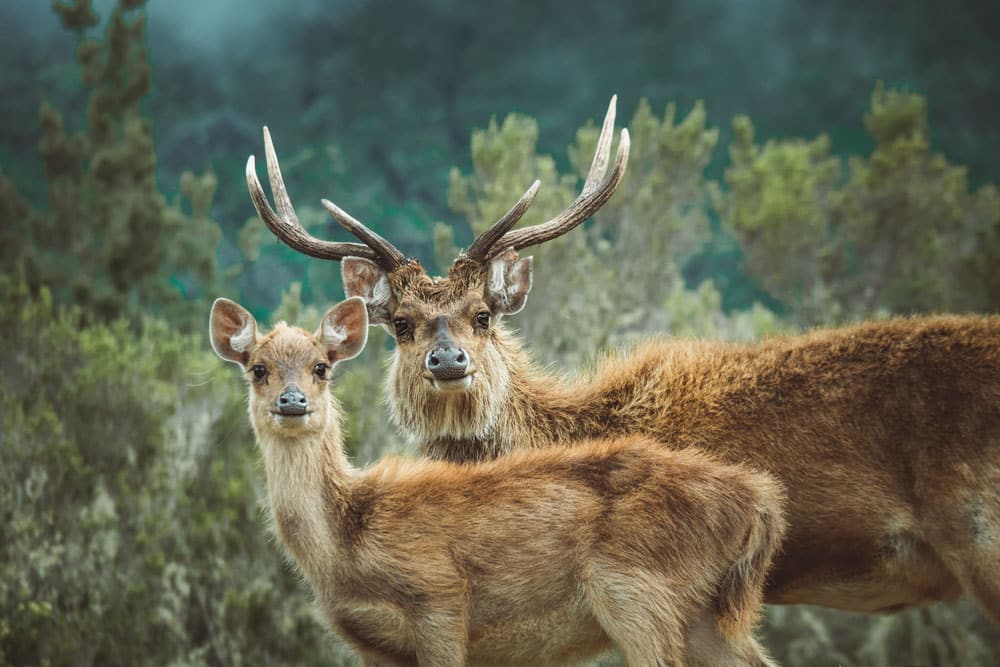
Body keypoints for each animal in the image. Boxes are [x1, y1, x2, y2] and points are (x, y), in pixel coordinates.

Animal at [213, 298, 788, 667]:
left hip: (638, 589)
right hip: (705, 615)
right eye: (258, 368)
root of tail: (761, 504)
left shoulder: (439, 598)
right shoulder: (372, 646)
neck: (346, 540)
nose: (292, 401)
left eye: (321, 367)